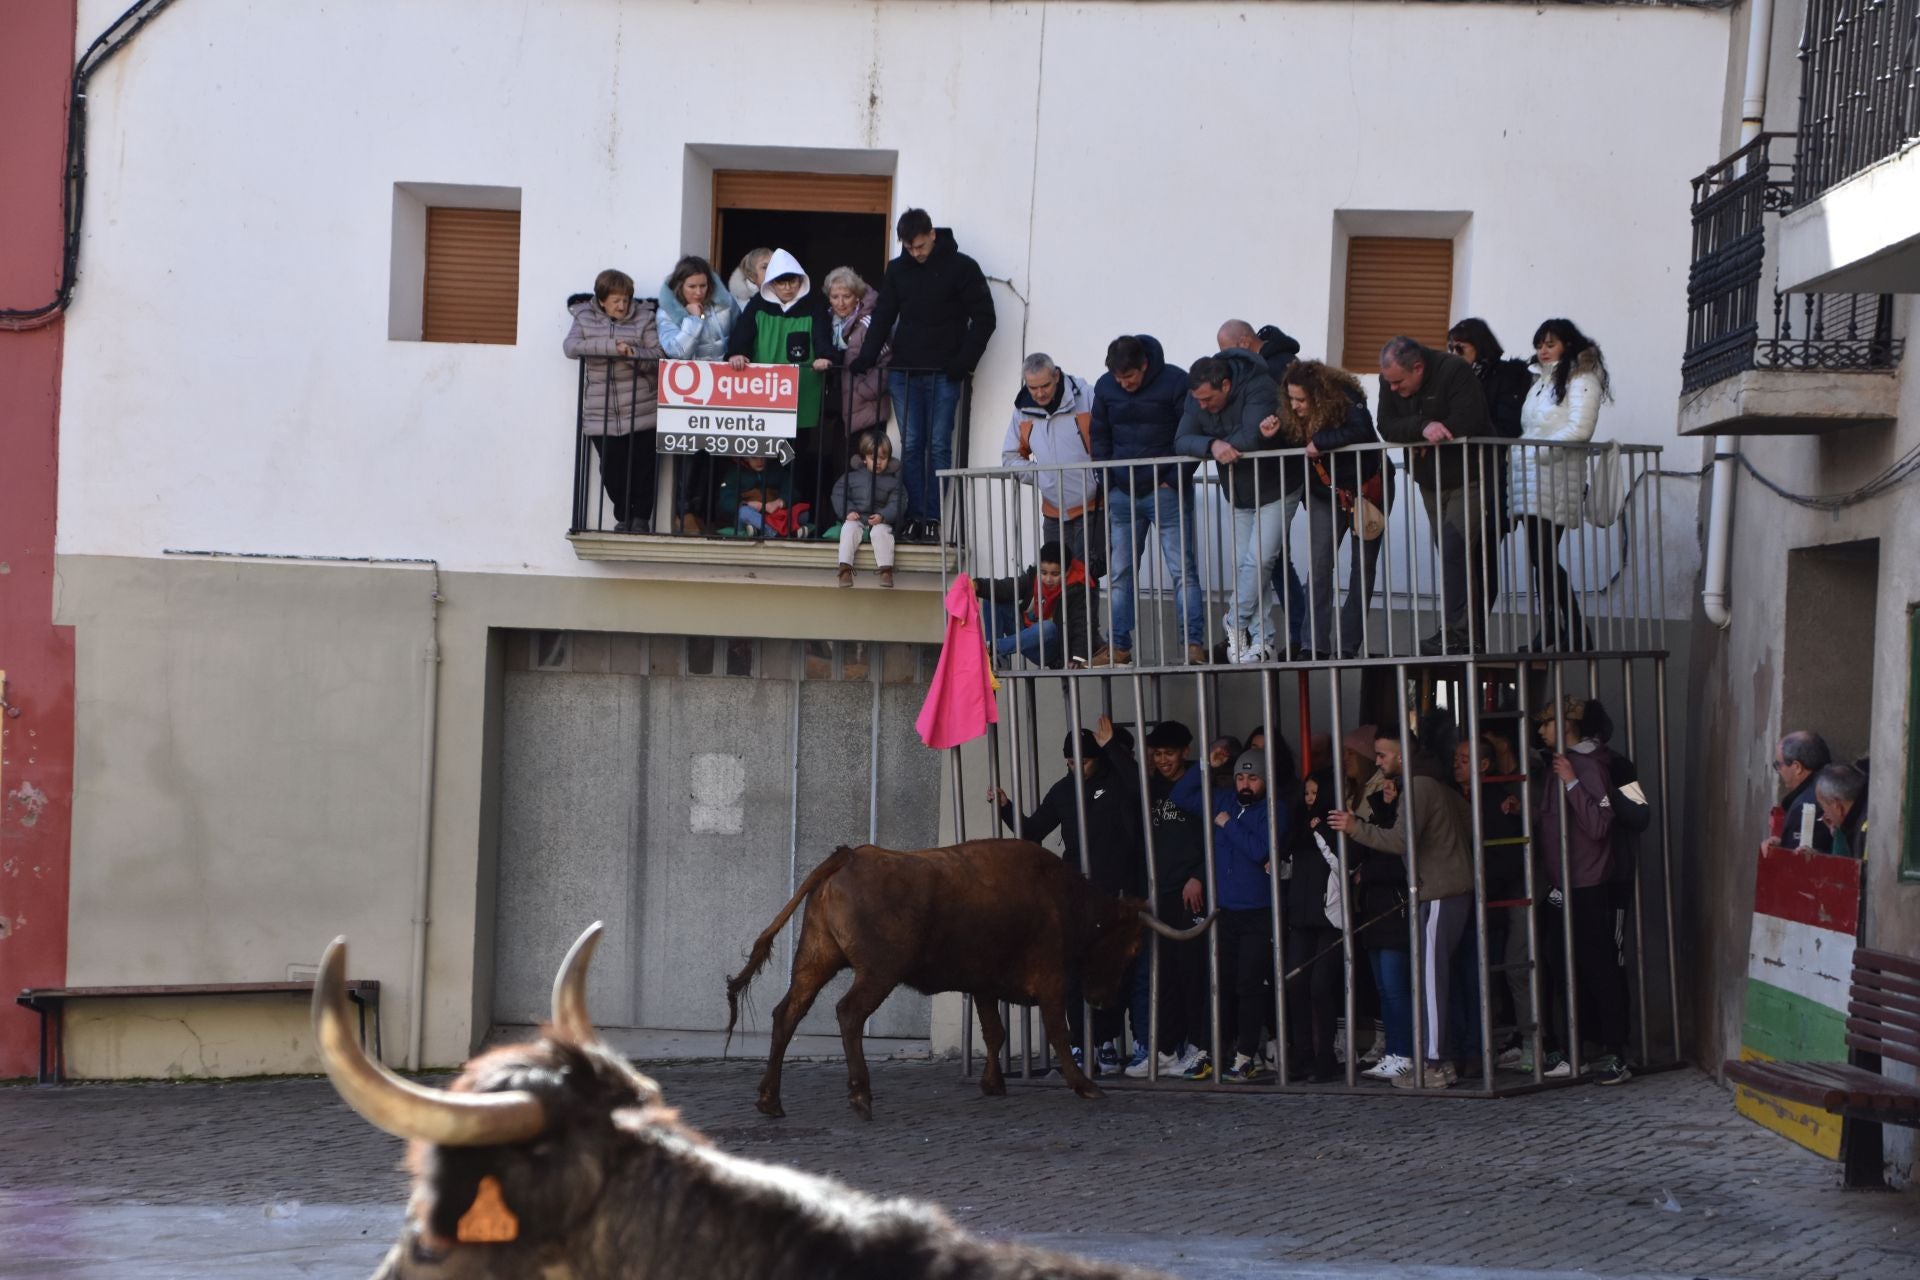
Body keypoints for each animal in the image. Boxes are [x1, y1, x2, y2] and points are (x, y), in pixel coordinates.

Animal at [725, 836, 1205, 1113]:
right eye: (1133, 948)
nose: (1102, 1000)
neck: (1061, 897)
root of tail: (848, 858)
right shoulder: (1050, 980)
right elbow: (1057, 1032)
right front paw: (1084, 1085)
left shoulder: (983, 984)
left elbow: (995, 1032)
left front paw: (993, 1084)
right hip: (878, 971)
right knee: (848, 1013)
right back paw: (860, 1094)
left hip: (815, 958)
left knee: (787, 1013)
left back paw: (769, 1099)